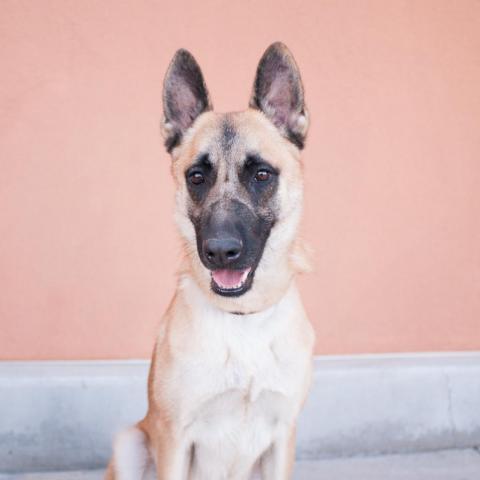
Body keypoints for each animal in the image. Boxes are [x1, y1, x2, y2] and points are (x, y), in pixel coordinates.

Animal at [105, 42, 316, 480]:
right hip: (131, 441)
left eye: (262, 175)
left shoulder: (283, 437)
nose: (220, 250)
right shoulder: (173, 439)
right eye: (196, 177)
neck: (243, 321)